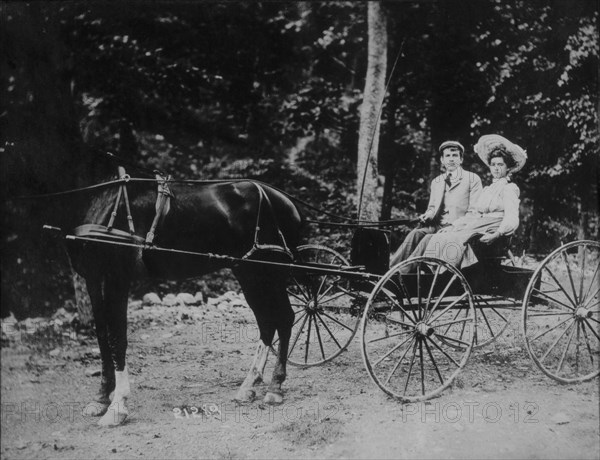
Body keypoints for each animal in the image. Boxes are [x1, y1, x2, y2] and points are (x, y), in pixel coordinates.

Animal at [64, 167, 304, 426]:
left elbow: (116, 339)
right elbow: (101, 336)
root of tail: (287, 201)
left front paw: (117, 406)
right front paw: (100, 399)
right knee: (267, 322)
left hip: (269, 272)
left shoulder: (116, 279)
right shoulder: (93, 279)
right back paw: (248, 386)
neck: (104, 198)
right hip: (248, 273)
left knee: (285, 318)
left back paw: (275, 387)